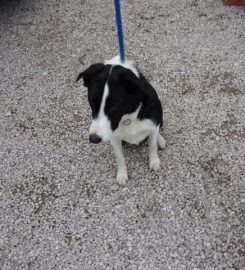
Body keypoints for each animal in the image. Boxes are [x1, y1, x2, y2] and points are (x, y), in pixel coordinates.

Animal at [75, 56, 166, 185]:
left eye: (114, 107)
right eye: (92, 103)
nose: (93, 139)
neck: (128, 117)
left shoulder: (152, 124)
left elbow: (152, 146)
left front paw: (154, 162)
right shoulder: (114, 138)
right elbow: (120, 157)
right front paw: (122, 175)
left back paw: (160, 140)